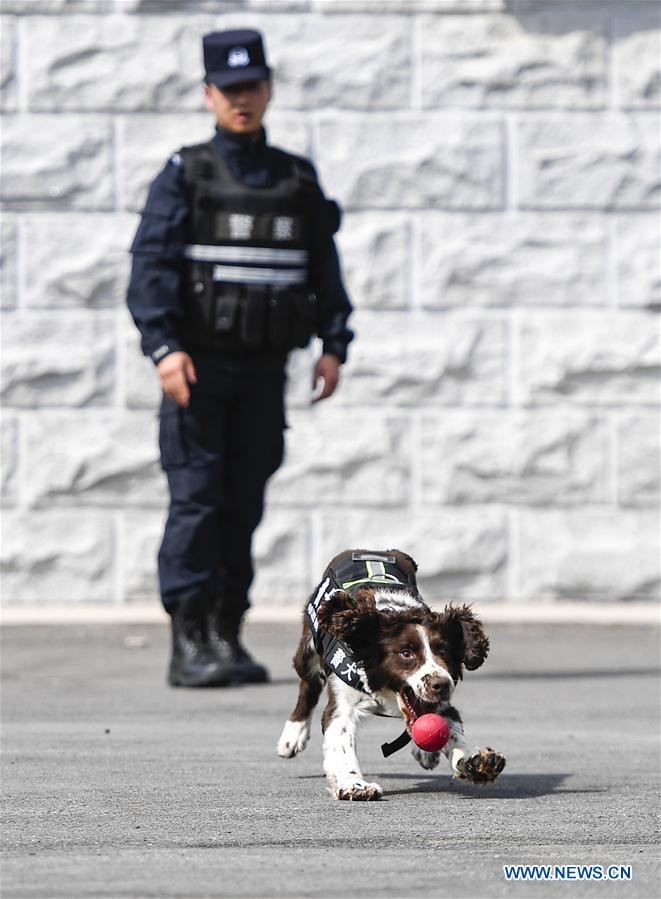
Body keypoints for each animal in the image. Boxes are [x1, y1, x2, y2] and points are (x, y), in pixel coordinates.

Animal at [278, 548, 506, 800]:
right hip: (308, 647)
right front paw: (355, 785)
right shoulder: (342, 701)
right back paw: (292, 736)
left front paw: (478, 763)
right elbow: (341, 739)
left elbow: (451, 730)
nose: (442, 685)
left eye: (444, 651)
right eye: (406, 653)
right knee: (308, 685)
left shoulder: (442, 704)